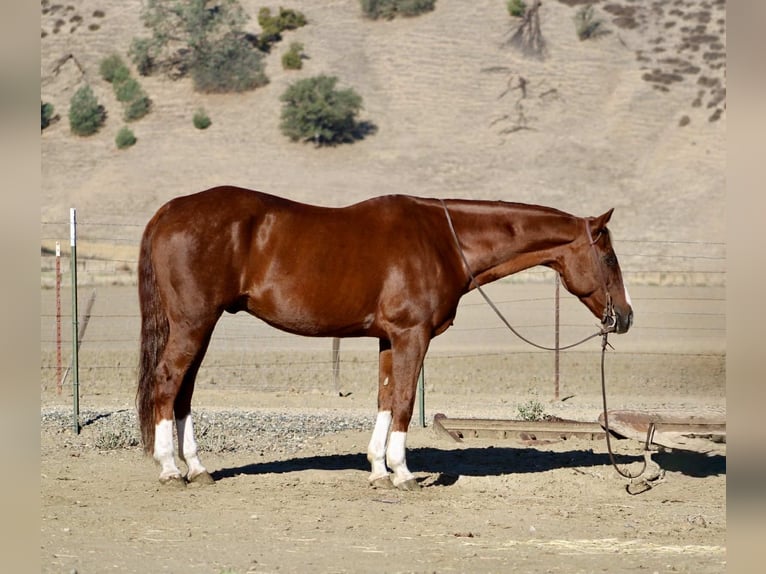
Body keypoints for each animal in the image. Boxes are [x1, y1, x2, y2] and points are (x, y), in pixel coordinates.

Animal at [136, 186, 633, 489]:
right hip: (194, 323)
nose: (625, 317)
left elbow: (385, 397)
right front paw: (404, 473)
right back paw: (169, 468)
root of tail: (169, 211)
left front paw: (378, 469)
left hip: (201, 326)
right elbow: (405, 402)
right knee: (167, 383)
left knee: (183, 391)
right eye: (609, 258)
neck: (445, 240)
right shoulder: (413, 335)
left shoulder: (388, 339)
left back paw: (197, 467)